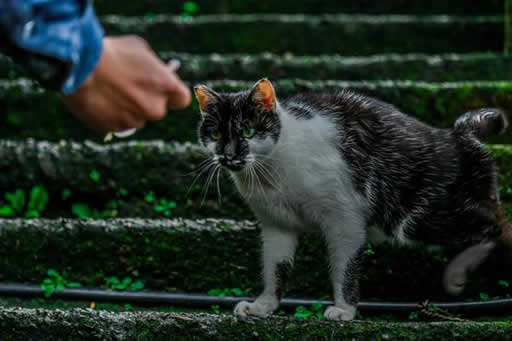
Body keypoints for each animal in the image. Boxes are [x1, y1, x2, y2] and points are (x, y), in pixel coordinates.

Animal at [193, 78, 512, 320]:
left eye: (247, 130)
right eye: (216, 134)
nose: (228, 154)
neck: (269, 175)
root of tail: (460, 135)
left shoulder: (344, 218)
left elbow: (344, 268)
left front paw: (344, 310)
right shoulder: (276, 225)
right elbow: (275, 269)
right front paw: (263, 305)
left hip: (422, 218)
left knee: (498, 226)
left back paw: (458, 272)